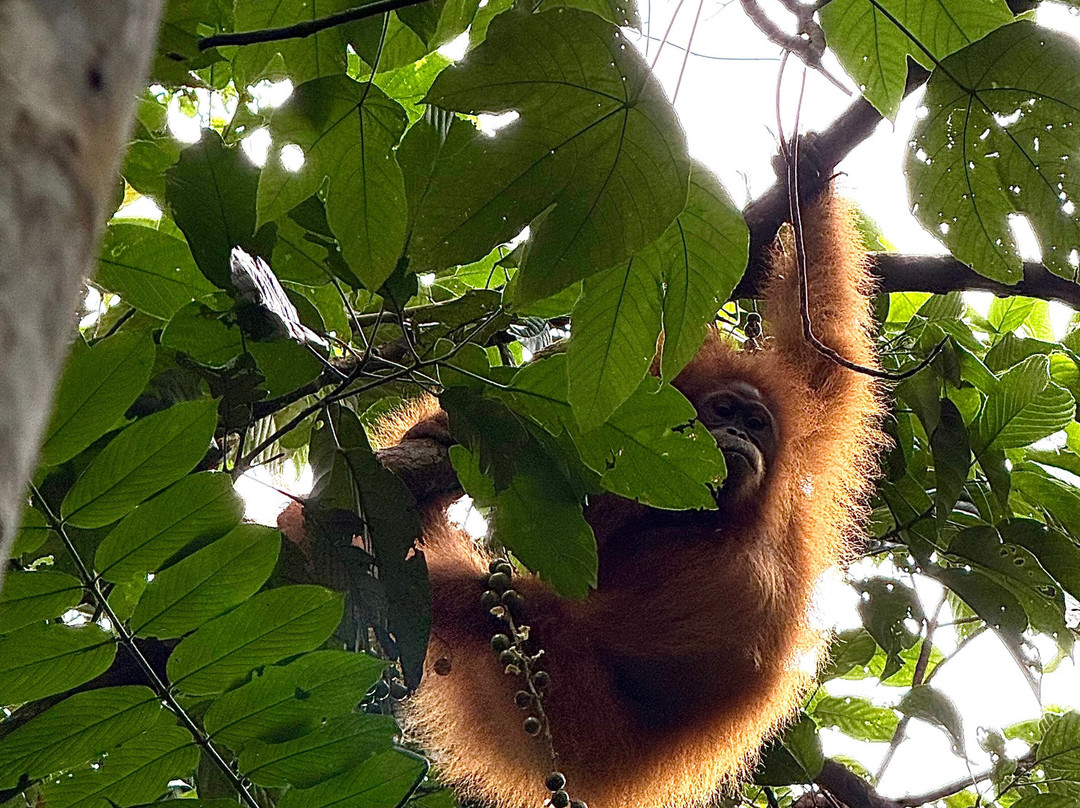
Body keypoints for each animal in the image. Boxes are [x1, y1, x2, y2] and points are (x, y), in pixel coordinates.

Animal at [374, 190, 886, 808]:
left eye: (756, 422)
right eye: (722, 411)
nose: (737, 435)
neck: (720, 519)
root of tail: (618, 774)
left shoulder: (803, 448)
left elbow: (825, 348)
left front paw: (808, 181)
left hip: (570, 705)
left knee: (470, 599)